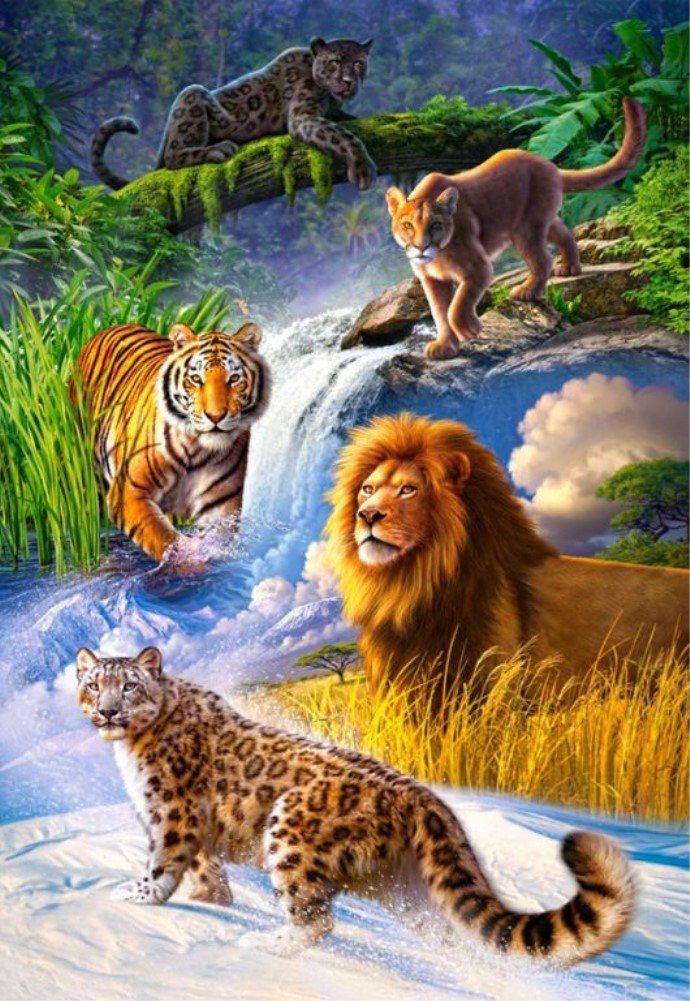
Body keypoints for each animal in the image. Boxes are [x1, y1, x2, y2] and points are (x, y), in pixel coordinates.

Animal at [73, 321, 270, 564]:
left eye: (234, 379)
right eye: (196, 379)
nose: (215, 416)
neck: (197, 449)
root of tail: (111, 326)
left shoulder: (220, 507)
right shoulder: (129, 492)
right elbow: (161, 536)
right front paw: (184, 559)